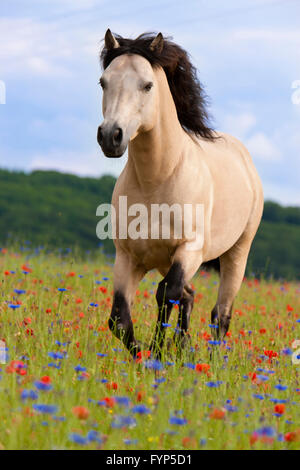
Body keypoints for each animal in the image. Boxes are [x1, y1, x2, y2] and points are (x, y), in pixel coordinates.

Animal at [96, 30, 262, 360]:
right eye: (103, 82)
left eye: (147, 85)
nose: (110, 136)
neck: (156, 180)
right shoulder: (127, 257)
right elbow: (119, 318)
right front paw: (145, 354)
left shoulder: (189, 250)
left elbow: (166, 294)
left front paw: (157, 353)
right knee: (190, 295)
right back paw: (184, 346)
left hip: (237, 254)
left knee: (220, 314)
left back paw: (211, 360)